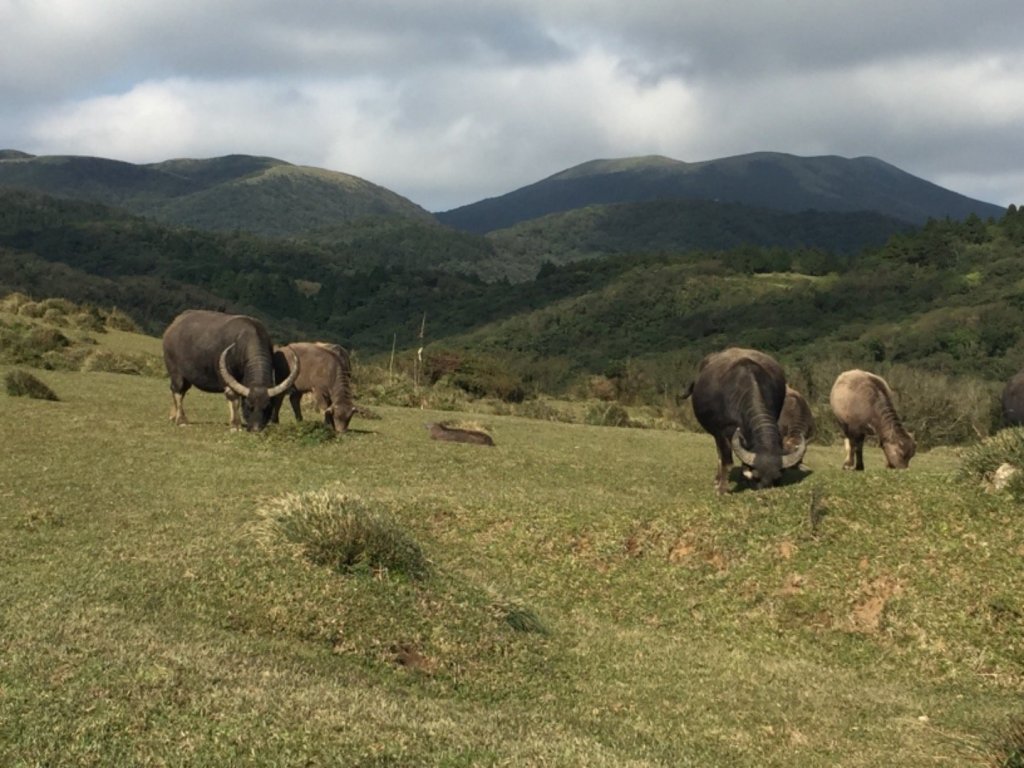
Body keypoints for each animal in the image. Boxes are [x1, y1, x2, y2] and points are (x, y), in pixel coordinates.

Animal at [159, 311, 296, 434]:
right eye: (248, 406)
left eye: (267, 407)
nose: (256, 429)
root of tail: (173, 325)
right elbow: (233, 397)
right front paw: (235, 425)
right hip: (175, 372)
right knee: (177, 390)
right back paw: (181, 420)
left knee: (182, 391)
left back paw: (173, 416)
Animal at [688, 348, 806, 495]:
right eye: (756, 477)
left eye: (776, 478)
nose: (763, 490)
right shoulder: (722, 432)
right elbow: (727, 461)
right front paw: (722, 489)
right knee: (719, 453)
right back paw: (717, 480)